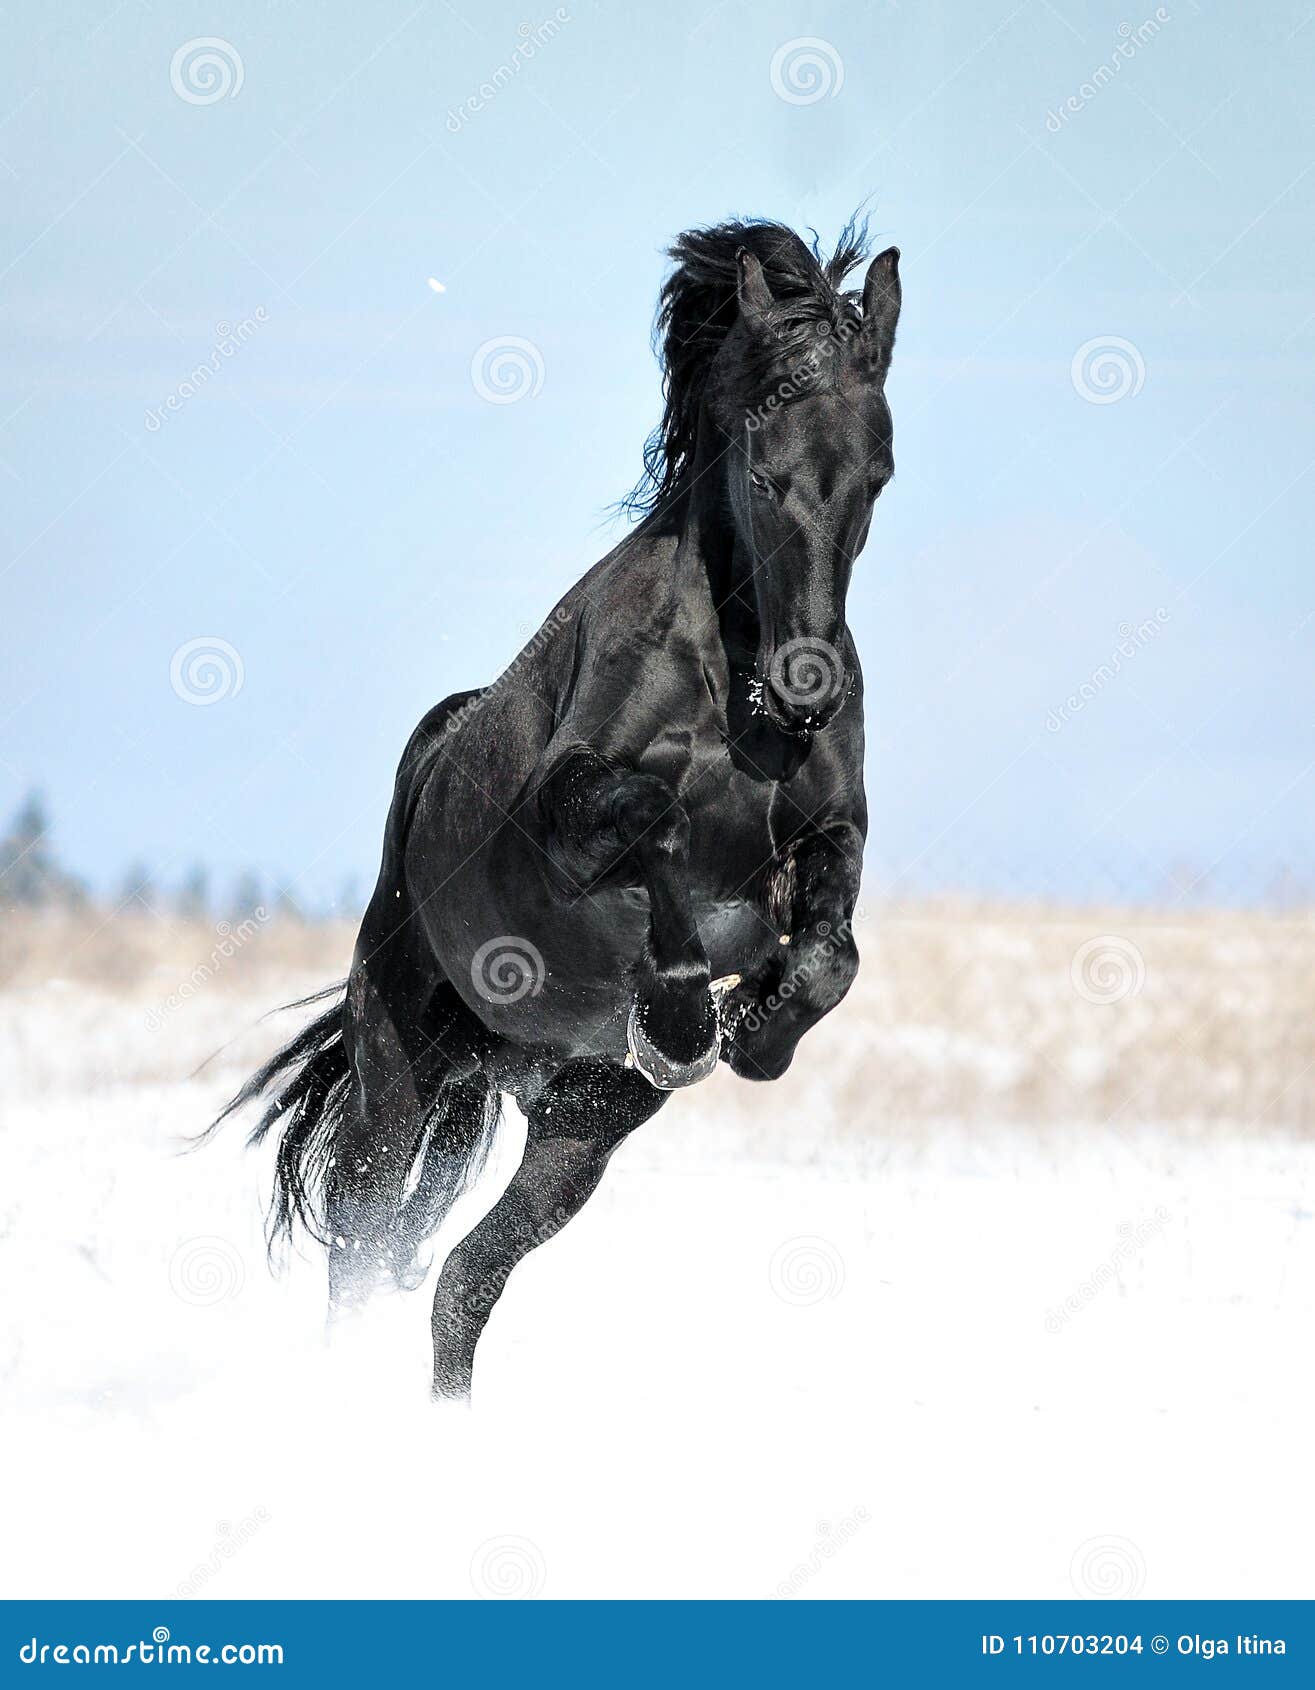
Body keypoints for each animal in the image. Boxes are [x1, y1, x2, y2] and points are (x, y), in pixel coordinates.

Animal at [219, 214, 899, 1399]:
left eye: (878, 472)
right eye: (764, 468)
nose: (807, 686)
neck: (734, 693)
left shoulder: (833, 836)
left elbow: (829, 952)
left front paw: (758, 1026)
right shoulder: (566, 814)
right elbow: (651, 819)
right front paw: (682, 1011)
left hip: (577, 1127)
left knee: (458, 1278)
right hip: (399, 1067)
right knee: (362, 1243)